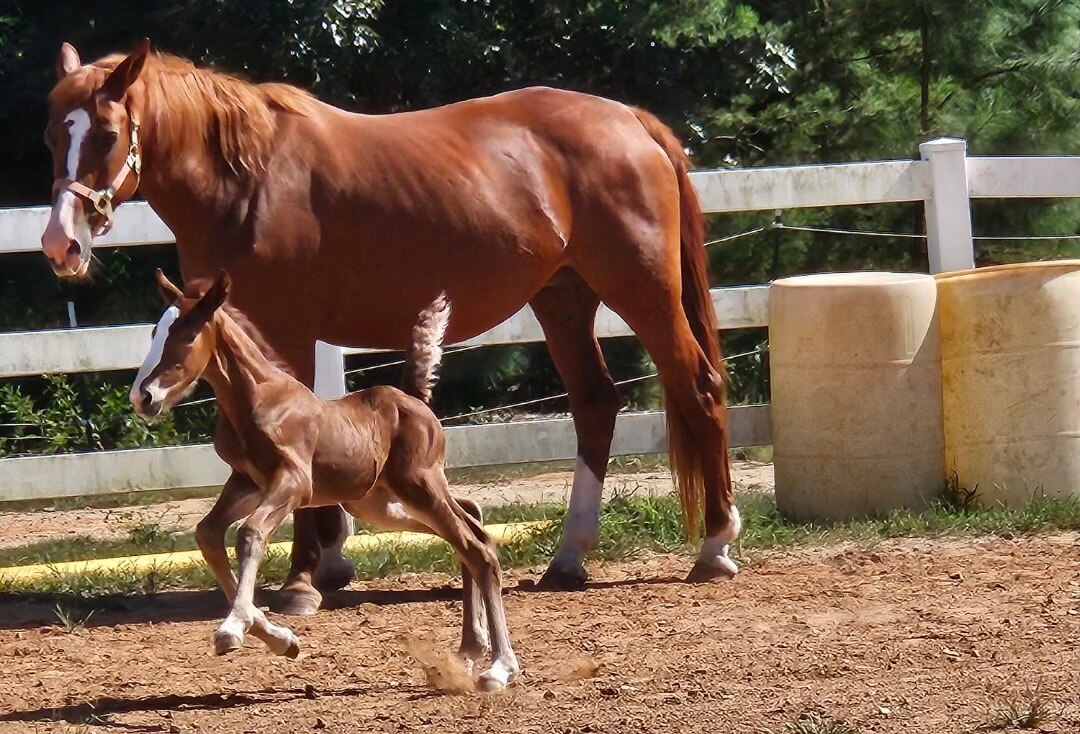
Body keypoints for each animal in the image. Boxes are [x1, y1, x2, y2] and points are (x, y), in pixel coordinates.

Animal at [41, 40, 742, 616]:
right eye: (52, 133)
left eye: (107, 132)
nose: (60, 244)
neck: (249, 181)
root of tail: (631, 120)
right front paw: (328, 564)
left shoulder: (286, 329)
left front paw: (301, 582)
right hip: (563, 299)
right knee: (595, 403)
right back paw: (568, 559)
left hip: (643, 291)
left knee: (698, 385)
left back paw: (715, 545)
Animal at [131, 269, 520, 690]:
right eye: (154, 331)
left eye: (187, 334)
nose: (142, 397)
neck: (261, 399)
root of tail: (413, 399)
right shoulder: (246, 483)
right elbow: (207, 534)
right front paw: (281, 640)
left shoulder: (294, 482)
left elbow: (249, 534)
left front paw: (232, 629)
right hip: (379, 504)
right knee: (471, 523)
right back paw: (470, 648)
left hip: (419, 486)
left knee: (476, 547)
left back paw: (500, 667)